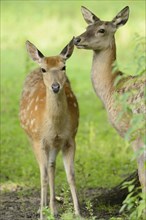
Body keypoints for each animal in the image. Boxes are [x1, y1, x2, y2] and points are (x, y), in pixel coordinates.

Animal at [19, 37, 80, 218]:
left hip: (54, 144)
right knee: (44, 169)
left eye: (63, 66)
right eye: (44, 69)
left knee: (52, 166)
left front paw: (78, 213)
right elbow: (43, 176)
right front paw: (41, 215)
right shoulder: (39, 140)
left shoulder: (70, 139)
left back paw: (53, 209)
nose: (55, 87)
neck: (55, 125)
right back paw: (45, 207)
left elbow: (71, 175)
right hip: (31, 137)